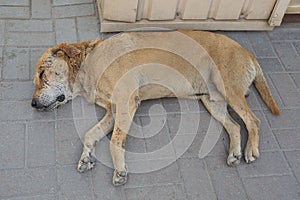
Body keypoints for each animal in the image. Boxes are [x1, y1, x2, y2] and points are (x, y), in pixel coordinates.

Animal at [31, 30, 280, 187]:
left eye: (42, 74)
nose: (32, 104)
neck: (88, 64)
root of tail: (247, 52)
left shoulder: (126, 102)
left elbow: (114, 142)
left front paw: (119, 170)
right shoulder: (113, 111)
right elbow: (90, 134)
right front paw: (86, 156)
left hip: (229, 89)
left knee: (253, 121)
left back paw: (250, 150)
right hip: (212, 102)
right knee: (235, 125)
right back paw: (234, 153)